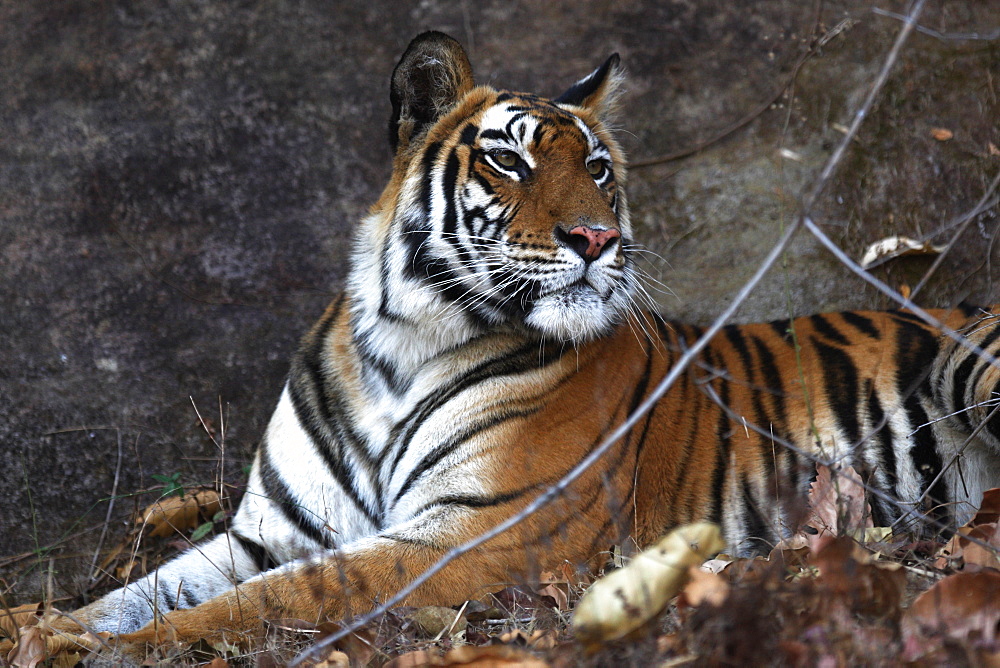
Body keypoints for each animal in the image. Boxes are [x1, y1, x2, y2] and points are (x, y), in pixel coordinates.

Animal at [9, 30, 1000, 656]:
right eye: (510, 160)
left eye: (597, 168)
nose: (598, 238)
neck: (399, 347)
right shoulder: (268, 530)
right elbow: (144, 587)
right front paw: (45, 629)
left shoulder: (479, 532)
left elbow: (285, 594)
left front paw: (121, 651)